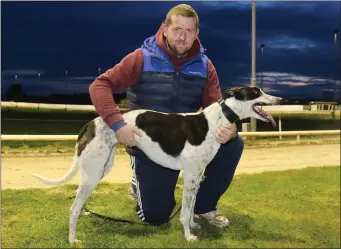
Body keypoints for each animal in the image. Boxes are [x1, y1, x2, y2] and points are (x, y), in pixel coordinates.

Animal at [31, 86, 282, 243]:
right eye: (256, 92)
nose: (281, 100)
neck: (215, 120)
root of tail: (90, 123)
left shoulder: (196, 174)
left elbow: (191, 206)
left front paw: (194, 225)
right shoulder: (190, 174)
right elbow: (185, 211)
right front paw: (188, 236)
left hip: (100, 168)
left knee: (78, 201)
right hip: (93, 172)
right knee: (72, 208)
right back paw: (73, 238)